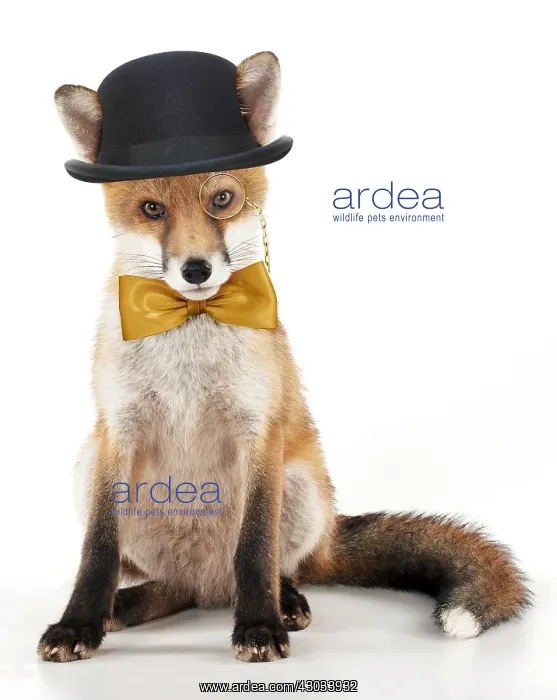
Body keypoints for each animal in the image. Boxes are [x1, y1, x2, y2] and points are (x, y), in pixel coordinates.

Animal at [38, 50, 530, 664]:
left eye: (221, 199)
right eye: (152, 209)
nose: (196, 270)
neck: (190, 327)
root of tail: (208, 584)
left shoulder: (259, 430)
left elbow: (255, 550)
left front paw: (259, 626)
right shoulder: (116, 432)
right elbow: (97, 553)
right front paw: (79, 623)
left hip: (299, 485)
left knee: (272, 570)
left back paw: (285, 601)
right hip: (88, 468)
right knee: (172, 589)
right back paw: (125, 607)